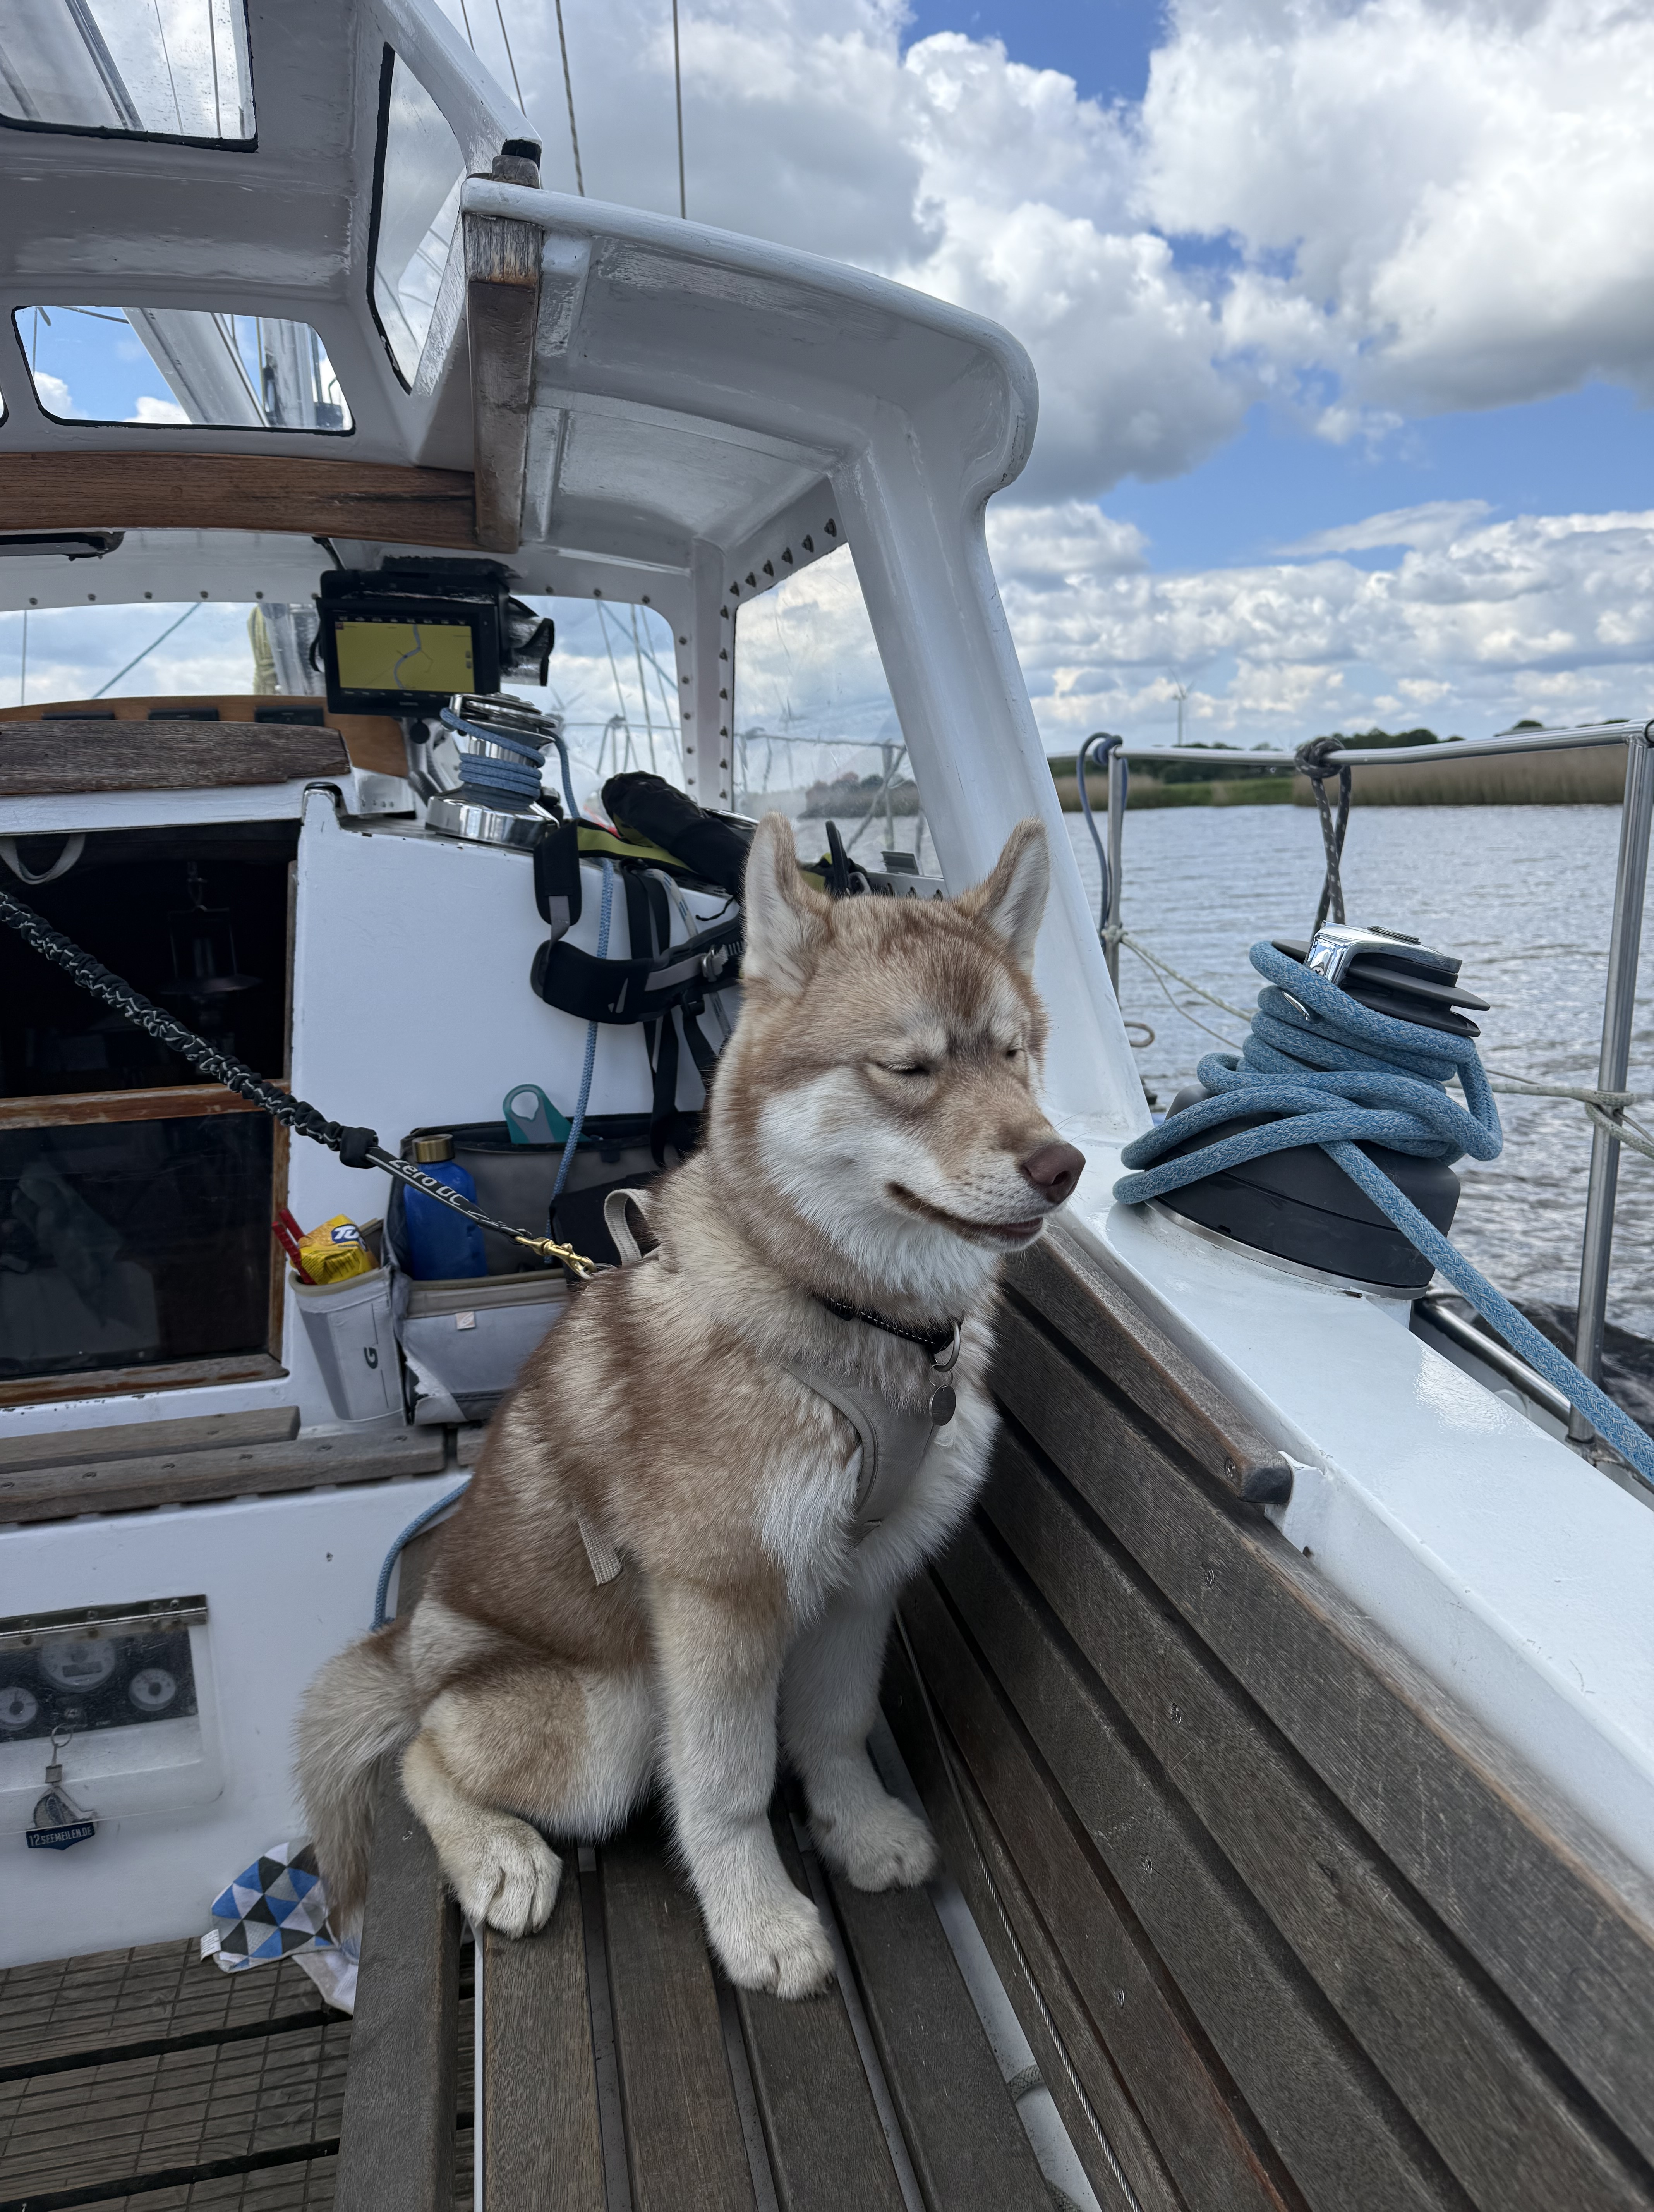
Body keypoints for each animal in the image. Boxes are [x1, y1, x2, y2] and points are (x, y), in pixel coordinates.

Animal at [297, 813, 1084, 1998]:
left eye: (1014, 1051)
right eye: (907, 1068)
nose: (1062, 1165)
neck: (850, 1317)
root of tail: (412, 1649)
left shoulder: (862, 1581)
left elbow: (838, 1725)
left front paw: (857, 1829)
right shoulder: (721, 1606)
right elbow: (728, 1784)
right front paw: (757, 1920)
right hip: (608, 1716)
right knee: (423, 1753)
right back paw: (498, 1856)